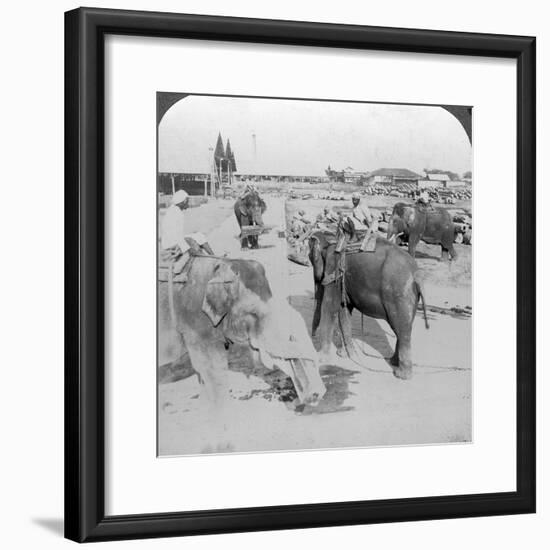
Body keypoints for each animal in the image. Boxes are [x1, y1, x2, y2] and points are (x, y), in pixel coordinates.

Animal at [158, 256, 328, 442]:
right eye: (252, 313)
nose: (317, 394)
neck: (220, 266)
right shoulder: (196, 323)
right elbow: (213, 367)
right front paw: (223, 428)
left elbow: (202, 370)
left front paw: (208, 415)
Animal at [308, 226, 430, 382]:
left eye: (310, 257)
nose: (312, 335)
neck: (332, 242)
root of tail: (416, 275)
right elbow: (344, 310)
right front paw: (347, 355)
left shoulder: (334, 273)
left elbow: (329, 307)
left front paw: (321, 359)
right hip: (410, 298)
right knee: (402, 327)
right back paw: (392, 362)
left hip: (399, 294)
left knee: (402, 329)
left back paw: (401, 375)